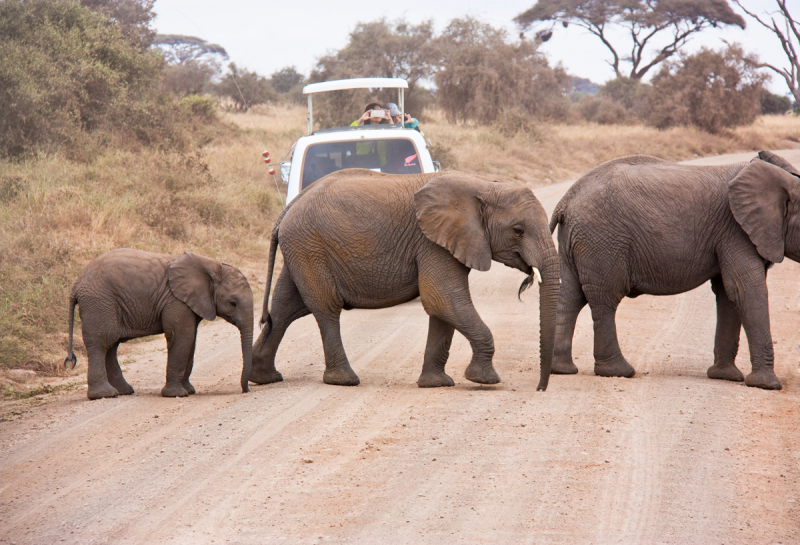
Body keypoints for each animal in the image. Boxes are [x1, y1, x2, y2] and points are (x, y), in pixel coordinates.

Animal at [66, 249, 255, 398]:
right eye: (232, 303)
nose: (245, 390)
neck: (212, 266)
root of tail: (76, 284)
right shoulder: (176, 301)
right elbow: (182, 337)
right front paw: (177, 394)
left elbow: (191, 341)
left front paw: (189, 390)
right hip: (99, 303)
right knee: (101, 343)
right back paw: (105, 395)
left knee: (110, 346)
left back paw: (123, 391)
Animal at [248, 169, 556, 386]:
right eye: (518, 230)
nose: (540, 387)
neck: (484, 185)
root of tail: (288, 207)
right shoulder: (431, 241)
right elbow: (443, 299)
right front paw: (484, 380)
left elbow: (442, 308)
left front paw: (435, 384)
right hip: (310, 246)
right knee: (325, 308)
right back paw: (344, 380)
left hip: (301, 248)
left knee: (284, 309)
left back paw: (263, 378)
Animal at [552, 151, 800, 388]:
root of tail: (566, 200)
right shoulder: (736, 230)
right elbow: (745, 290)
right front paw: (767, 385)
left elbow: (728, 293)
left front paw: (725, 376)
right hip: (603, 241)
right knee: (605, 298)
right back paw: (618, 372)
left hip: (578, 239)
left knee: (571, 297)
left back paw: (562, 369)